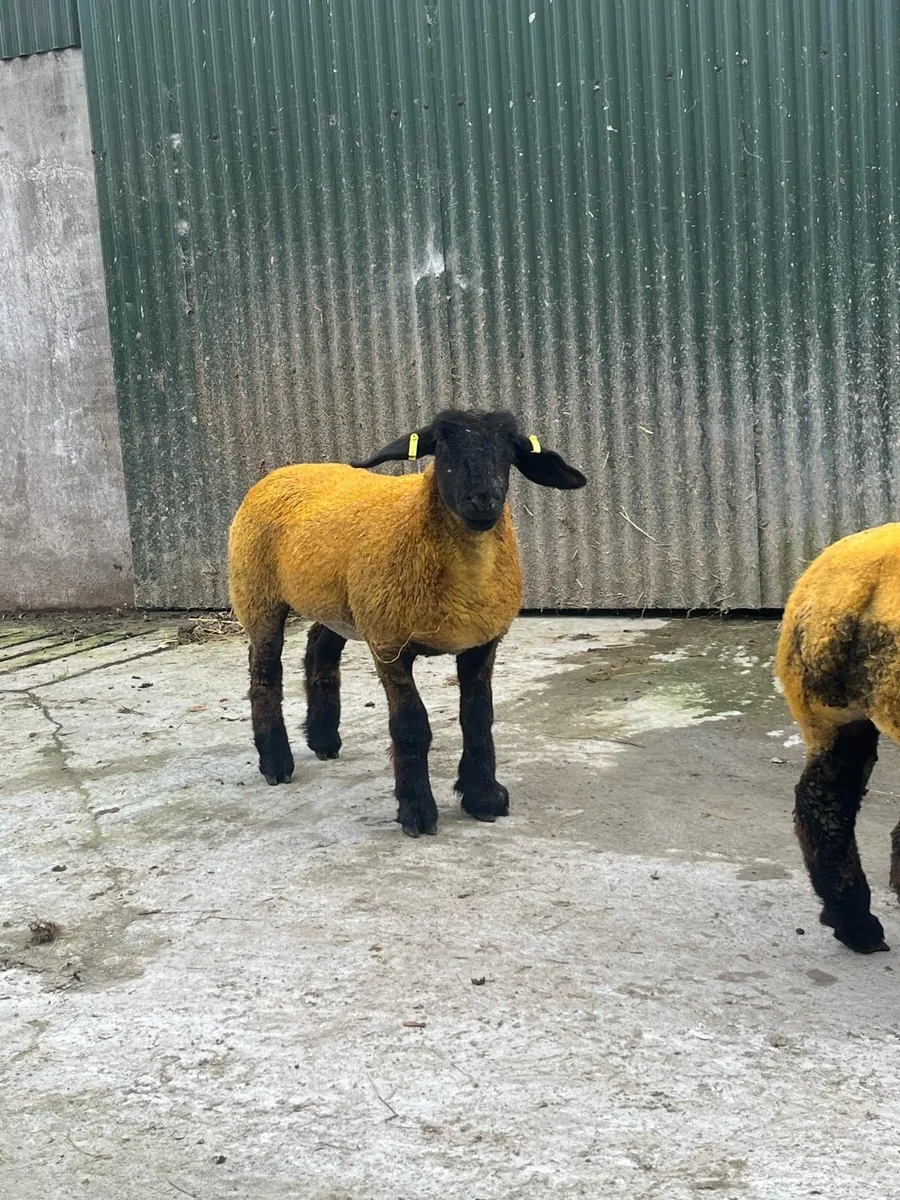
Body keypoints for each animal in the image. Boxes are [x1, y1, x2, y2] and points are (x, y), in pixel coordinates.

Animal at [228, 409, 586, 837]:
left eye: (510, 450)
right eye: (442, 444)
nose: (483, 499)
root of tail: (282, 470)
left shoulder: (481, 642)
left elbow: (478, 718)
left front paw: (483, 796)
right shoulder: (389, 644)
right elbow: (411, 726)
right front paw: (416, 810)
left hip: (339, 604)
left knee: (319, 651)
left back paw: (323, 738)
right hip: (258, 594)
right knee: (264, 675)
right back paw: (276, 762)